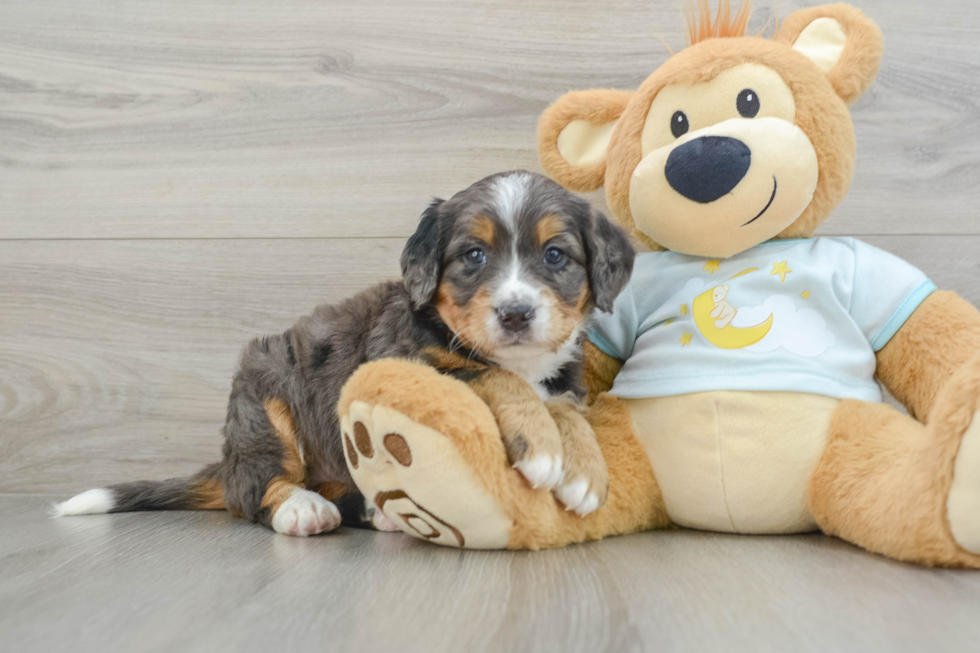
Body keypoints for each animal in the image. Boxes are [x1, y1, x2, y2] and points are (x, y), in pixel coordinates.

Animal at [55, 171, 636, 536]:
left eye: (555, 255)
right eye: (474, 255)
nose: (516, 314)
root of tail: (227, 458)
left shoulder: (563, 377)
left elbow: (565, 407)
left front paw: (584, 471)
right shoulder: (409, 363)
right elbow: (495, 378)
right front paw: (544, 448)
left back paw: (379, 513)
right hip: (264, 394)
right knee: (255, 488)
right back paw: (302, 509)